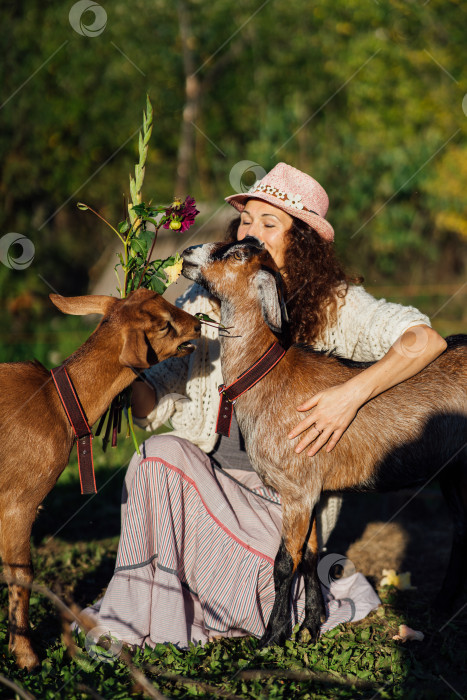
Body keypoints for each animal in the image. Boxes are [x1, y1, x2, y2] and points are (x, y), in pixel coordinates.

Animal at [0, 288, 201, 668]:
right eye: (163, 325)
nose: (197, 325)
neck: (54, 404)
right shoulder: (18, 502)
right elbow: (20, 574)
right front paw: (26, 656)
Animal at [183, 239, 467, 644]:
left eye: (237, 254)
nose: (189, 251)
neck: (270, 377)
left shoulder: (297, 490)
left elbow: (285, 563)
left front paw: (272, 637)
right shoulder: (312, 490)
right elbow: (310, 557)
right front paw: (311, 626)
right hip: (453, 472)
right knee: (462, 529)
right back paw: (441, 605)